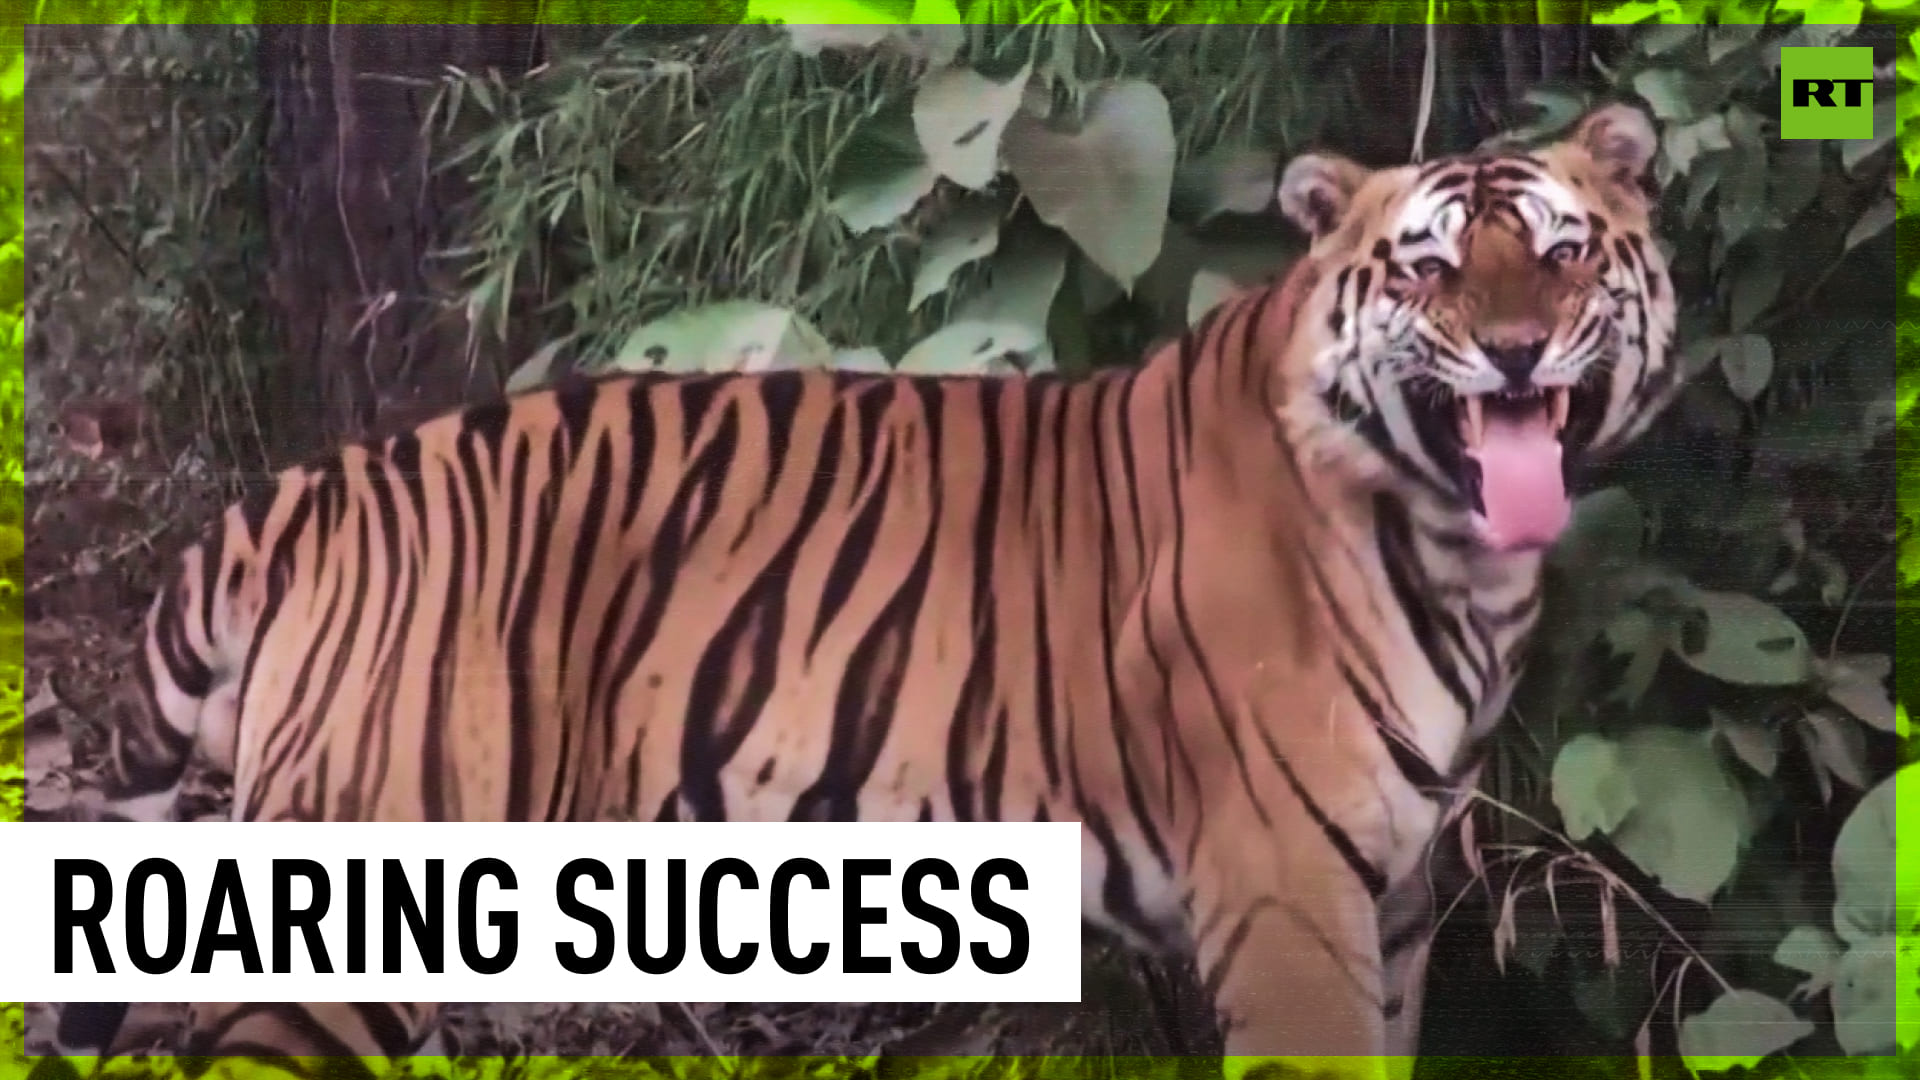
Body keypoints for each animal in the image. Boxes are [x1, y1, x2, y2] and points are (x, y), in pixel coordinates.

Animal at [40, 100, 1681, 1080]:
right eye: (1427, 273)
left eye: (1558, 252)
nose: (1518, 355)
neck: (1449, 553)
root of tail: (316, 488)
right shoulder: (1287, 906)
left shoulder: (1391, 906)